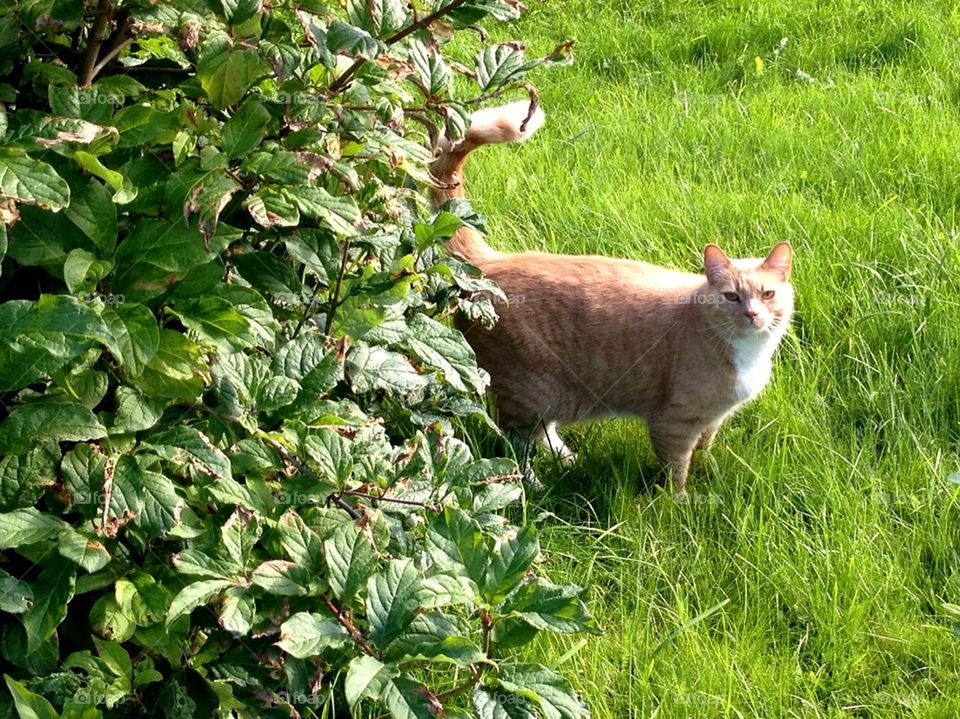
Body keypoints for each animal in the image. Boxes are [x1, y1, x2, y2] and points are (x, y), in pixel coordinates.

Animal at [432, 101, 792, 496]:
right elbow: (676, 470)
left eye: (768, 294)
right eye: (731, 297)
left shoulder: (711, 420)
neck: (749, 353)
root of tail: (489, 260)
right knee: (516, 444)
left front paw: (709, 474)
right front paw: (682, 499)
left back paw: (568, 461)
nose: (753, 314)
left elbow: (705, 449)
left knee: (542, 433)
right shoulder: (673, 423)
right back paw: (536, 485)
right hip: (528, 391)